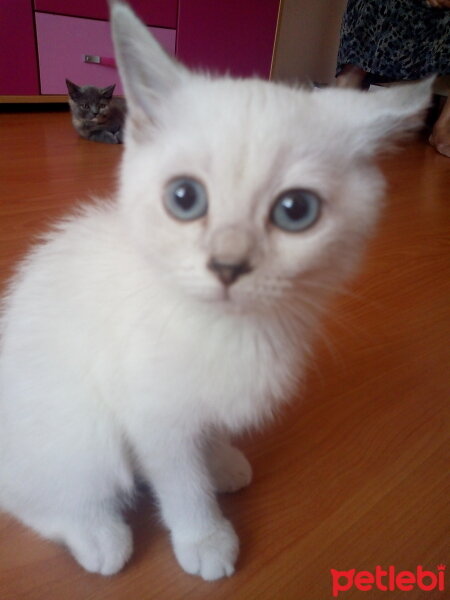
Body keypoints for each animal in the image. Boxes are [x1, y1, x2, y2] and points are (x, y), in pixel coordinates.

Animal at [0, 1, 430, 580]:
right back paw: (96, 534)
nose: (228, 265)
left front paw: (220, 456)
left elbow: (203, 434)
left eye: (296, 210)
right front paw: (204, 535)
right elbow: (181, 481)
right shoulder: (151, 411)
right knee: (34, 492)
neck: (232, 329)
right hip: (79, 429)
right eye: (185, 198)